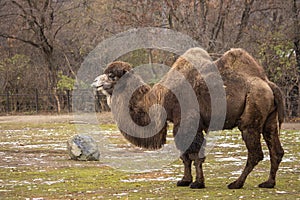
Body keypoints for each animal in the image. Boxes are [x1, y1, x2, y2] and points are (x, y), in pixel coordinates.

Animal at [91, 48, 284, 189]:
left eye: (112, 76)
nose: (94, 82)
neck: (158, 98)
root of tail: (269, 84)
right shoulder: (181, 124)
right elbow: (185, 156)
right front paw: (184, 180)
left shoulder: (187, 121)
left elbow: (194, 154)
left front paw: (197, 183)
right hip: (270, 120)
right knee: (276, 149)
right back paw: (268, 183)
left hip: (251, 117)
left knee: (255, 153)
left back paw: (236, 183)